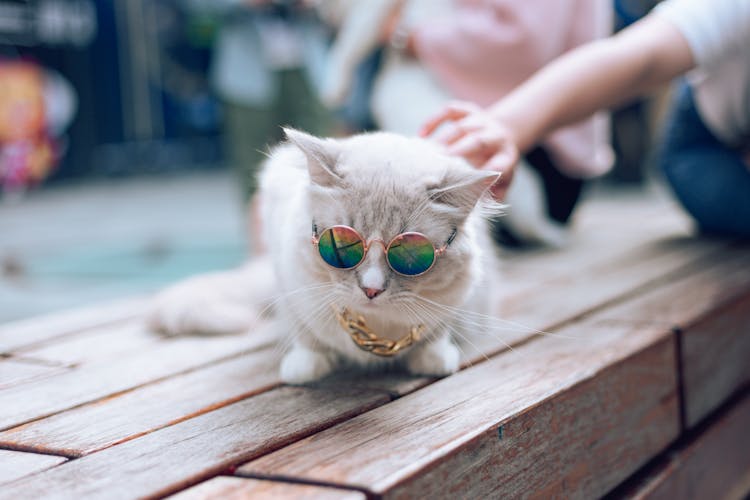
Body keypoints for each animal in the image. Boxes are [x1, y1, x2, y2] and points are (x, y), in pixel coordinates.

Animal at [149, 130, 502, 382]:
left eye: (412, 256)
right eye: (342, 245)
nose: (371, 289)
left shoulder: (455, 302)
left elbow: (437, 332)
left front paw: (433, 359)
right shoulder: (289, 285)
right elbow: (305, 335)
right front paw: (306, 368)